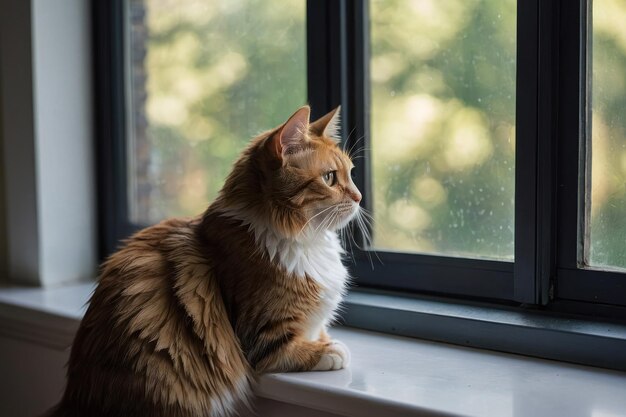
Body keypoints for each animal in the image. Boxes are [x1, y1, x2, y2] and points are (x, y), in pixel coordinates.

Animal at [47, 106, 360, 416]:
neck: (306, 241)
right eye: (330, 178)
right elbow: (297, 350)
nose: (359, 197)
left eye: (351, 174)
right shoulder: (261, 337)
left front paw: (325, 340)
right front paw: (331, 350)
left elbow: (320, 330)